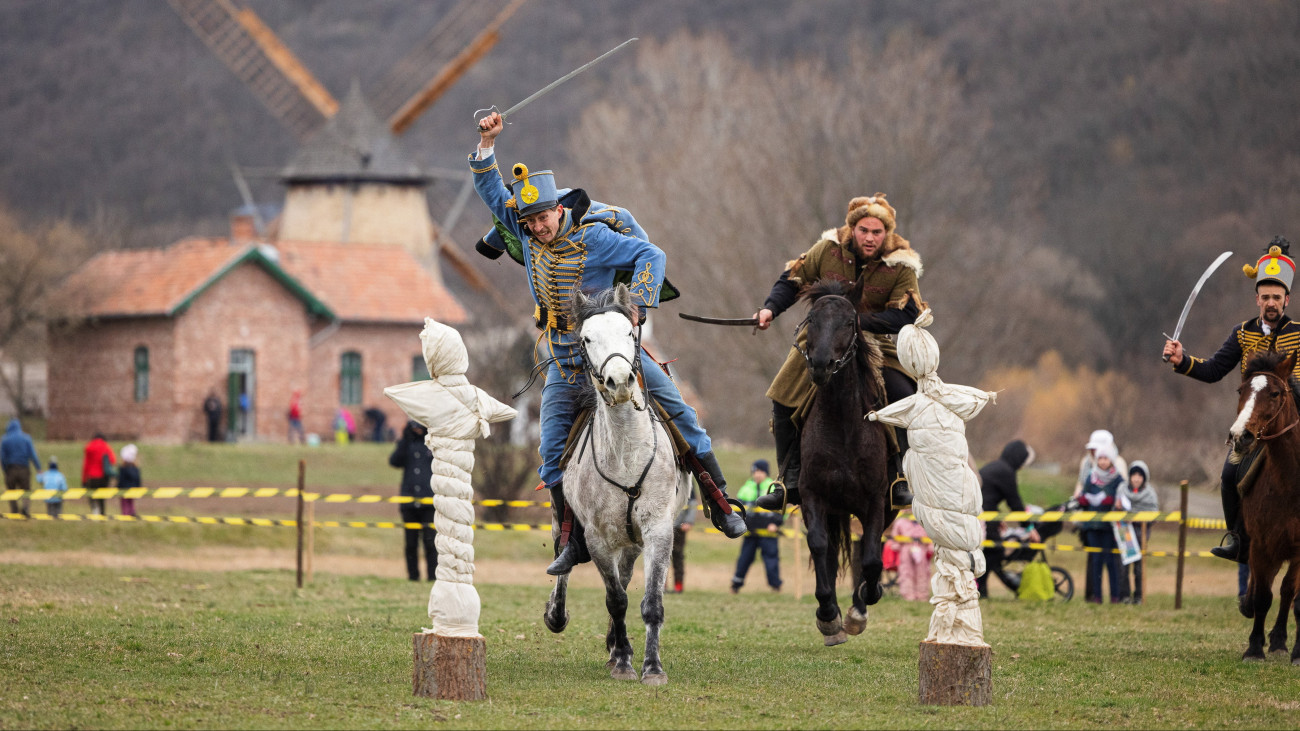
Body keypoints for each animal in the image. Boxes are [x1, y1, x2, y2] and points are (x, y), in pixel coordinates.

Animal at [540, 282, 691, 681]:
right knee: (564, 556)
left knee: (625, 574)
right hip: (568, 523)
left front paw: (652, 668)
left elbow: (650, 601)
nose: (620, 382)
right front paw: (623, 661)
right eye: (587, 338)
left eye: (629, 332)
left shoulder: (658, 529)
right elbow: (616, 598)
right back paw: (557, 613)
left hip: (633, 538)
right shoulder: (596, 537)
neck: (626, 452)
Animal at [795, 275, 899, 639]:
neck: (842, 423)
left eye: (849, 323)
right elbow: (818, 544)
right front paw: (827, 612)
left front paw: (863, 603)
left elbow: (870, 557)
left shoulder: (876, 501)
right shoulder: (813, 495)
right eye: (812, 320)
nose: (820, 365)